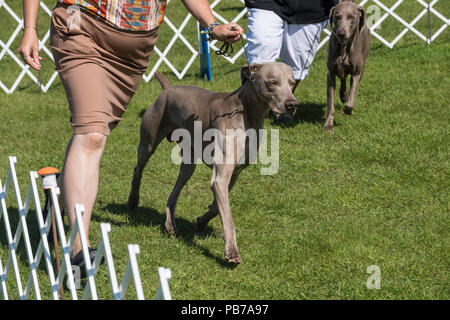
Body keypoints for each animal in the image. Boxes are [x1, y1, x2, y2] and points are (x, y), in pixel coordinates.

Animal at [127, 62, 296, 264]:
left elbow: (217, 207)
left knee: (174, 193)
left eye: (293, 83)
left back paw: (169, 224)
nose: (292, 105)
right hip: (148, 143)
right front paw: (232, 251)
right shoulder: (221, 176)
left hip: (188, 164)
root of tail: (168, 89)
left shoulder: (234, 174)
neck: (246, 113)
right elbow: (227, 217)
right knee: (138, 170)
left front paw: (202, 221)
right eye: (272, 82)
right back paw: (132, 201)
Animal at [326, 0, 370, 130]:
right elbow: (330, 104)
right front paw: (328, 124)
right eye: (337, 16)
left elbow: (351, 100)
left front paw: (347, 109)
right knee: (343, 79)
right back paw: (342, 94)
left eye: (352, 17)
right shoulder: (330, 74)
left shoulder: (356, 73)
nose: (341, 34)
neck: (344, 48)